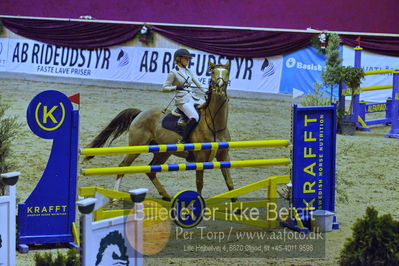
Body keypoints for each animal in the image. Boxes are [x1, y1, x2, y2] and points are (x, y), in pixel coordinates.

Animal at [85, 61, 234, 200]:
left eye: (227, 72)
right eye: (213, 72)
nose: (219, 88)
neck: (214, 125)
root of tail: (140, 113)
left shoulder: (224, 156)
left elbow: (229, 183)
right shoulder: (200, 158)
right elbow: (199, 183)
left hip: (163, 152)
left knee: (151, 170)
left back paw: (166, 196)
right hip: (137, 147)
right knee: (123, 166)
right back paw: (116, 196)